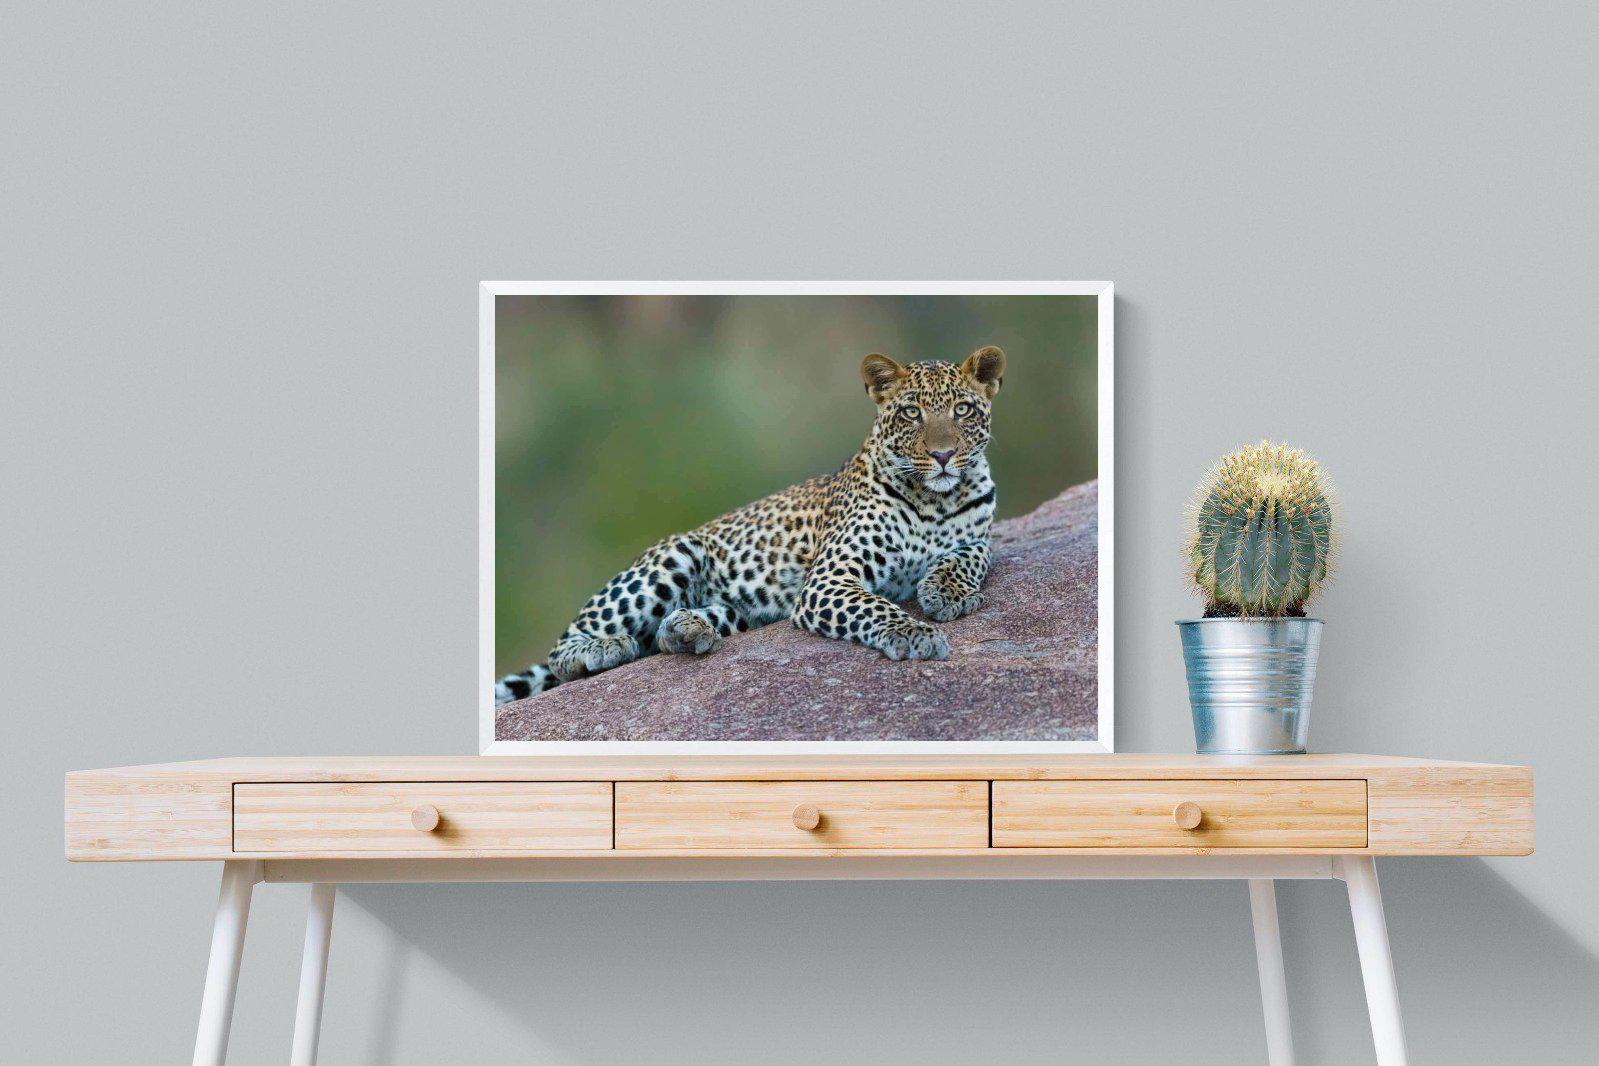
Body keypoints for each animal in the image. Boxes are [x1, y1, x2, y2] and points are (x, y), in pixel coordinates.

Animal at [494, 345, 1006, 705]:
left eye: (961, 410)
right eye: (911, 413)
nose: (943, 455)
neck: (936, 499)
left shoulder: (980, 536)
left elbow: (969, 557)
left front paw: (947, 593)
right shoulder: (828, 580)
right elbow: (876, 607)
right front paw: (915, 634)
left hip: (740, 609)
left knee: (663, 635)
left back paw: (688, 629)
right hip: (673, 557)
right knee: (566, 647)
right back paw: (604, 648)